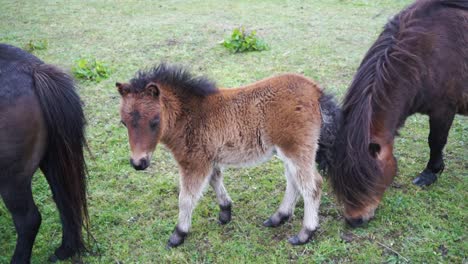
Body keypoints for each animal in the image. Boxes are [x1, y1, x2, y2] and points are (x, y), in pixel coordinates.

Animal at [0, 44, 89, 262]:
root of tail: (33, 70)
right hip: (52, 160)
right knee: (64, 201)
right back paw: (65, 250)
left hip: (11, 179)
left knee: (28, 220)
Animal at [117, 63, 340, 248]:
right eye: (123, 122)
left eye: (155, 121)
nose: (138, 163)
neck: (190, 115)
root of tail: (314, 89)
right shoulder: (209, 158)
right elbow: (215, 180)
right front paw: (225, 212)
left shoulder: (194, 162)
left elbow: (186, 199)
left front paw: (178, 234)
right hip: (287, 150)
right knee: (294, 182)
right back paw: (278, 217)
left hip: (296, 148)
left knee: (312, 186)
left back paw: (305, 233)